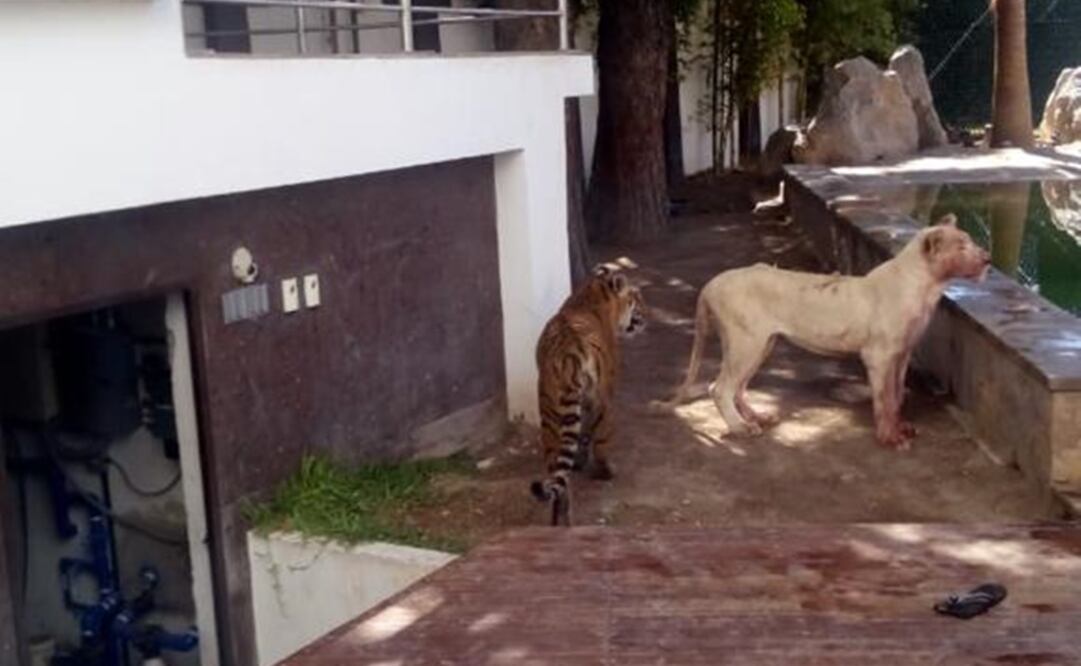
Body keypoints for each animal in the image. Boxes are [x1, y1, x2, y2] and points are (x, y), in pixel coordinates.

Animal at [530, 265, 646, 526]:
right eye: (636, 298)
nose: (644, 318)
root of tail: (568, 356)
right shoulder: (605, 395)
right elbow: (595, 434)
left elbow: (580, 435)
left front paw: (579, 461)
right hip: (598, 398)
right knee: (600, 438)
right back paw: (605, 472)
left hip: (550, 413)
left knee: (557, 473)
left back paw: (560, 519)